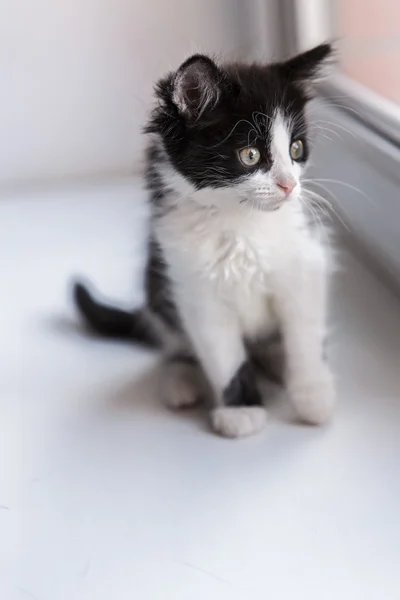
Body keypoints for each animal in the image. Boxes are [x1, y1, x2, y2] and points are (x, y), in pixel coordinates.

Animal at [74, 42, 334, 436]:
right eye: (250, 154)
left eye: (296, 149)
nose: (290, 186)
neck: (239, 222)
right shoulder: (194, 287)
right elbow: (224, 354)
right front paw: (241, 410)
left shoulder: (303, 263)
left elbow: (303, 333)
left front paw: (313, 396)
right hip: (157, 283)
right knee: (177, 343)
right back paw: (180, 378)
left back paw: (279, 361)